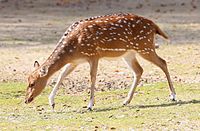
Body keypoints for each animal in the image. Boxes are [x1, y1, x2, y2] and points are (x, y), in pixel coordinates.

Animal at [24, 13, 175, 110]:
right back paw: (126, 101)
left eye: (32, 83)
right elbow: (62, 75)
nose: (26, 100)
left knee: (163, 62)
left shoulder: (93, 55)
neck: (73, 47)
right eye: (28, 81)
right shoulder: (75, 61)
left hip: (144, 46)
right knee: (139, 70)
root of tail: (155, 26)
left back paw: (173, 96)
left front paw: (90, 105)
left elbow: (92, 77)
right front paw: (52, 102)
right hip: (129, 53)